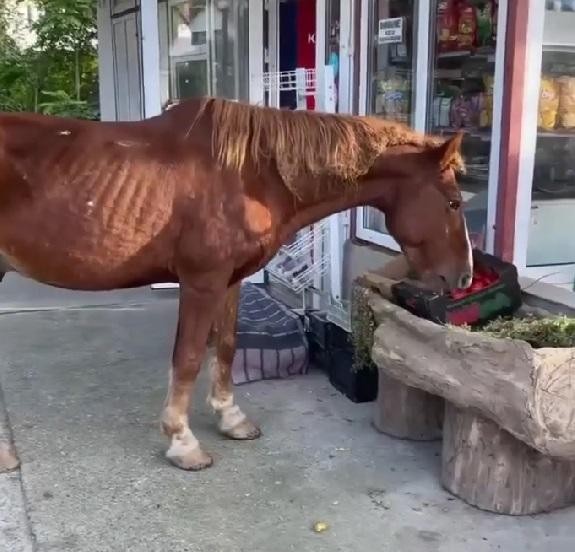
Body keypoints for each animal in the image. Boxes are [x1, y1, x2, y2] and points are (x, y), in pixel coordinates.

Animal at [0, 98, 470, 470]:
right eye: (453, 203)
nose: (463, 276)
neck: (249, 176)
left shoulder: (230, 281)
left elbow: (224, 346)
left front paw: (230, 418)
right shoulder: (202, 282)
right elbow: (188, 357)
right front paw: (182, 441)